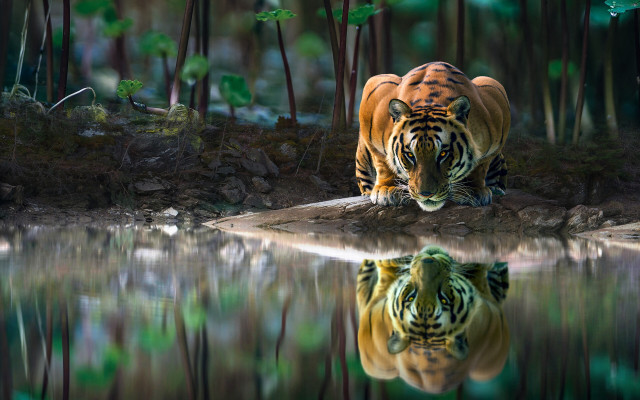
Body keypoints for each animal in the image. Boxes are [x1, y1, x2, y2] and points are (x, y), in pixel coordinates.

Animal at [355, 62, 510, 211]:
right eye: (410, 155)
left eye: (443, 154)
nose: (426, 194)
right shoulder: (374, 90)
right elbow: (383, 161)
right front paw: (388, 189)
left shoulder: (496, 97)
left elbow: (480, 165)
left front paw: (472, 190)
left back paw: (496, 189)